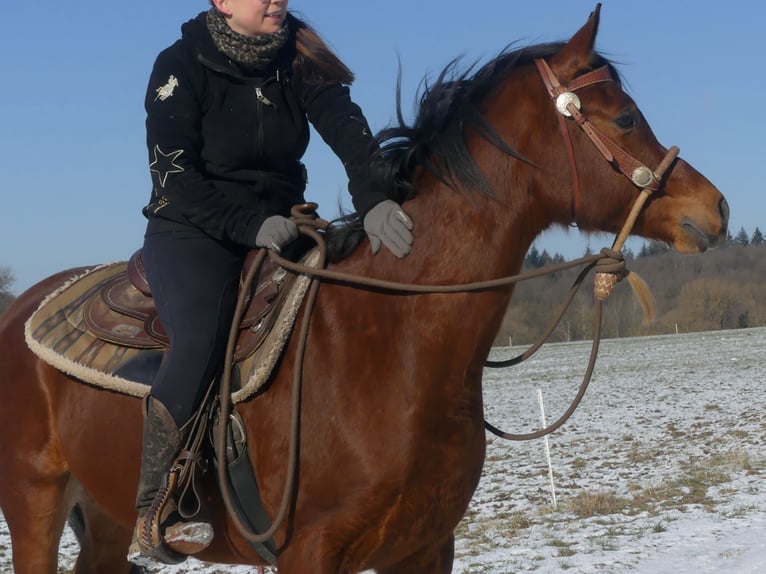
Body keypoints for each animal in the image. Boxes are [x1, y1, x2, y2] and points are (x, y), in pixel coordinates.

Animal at [0, 7, 732, 574]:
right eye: (626, 117)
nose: (717, 208)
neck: (393, 341)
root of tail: (22, 311)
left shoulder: (425, 548)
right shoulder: (310, 554)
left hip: (103, 516)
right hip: (36, 503)